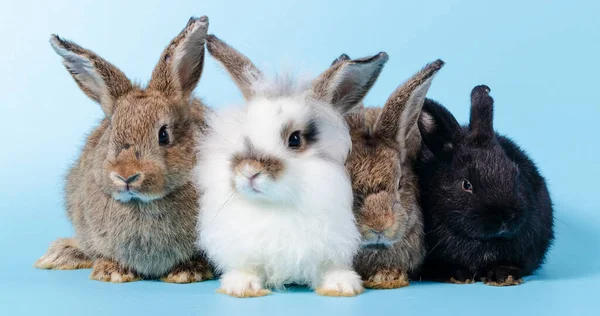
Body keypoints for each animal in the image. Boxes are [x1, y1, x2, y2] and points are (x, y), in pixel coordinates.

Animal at [34, 16, 213, 284]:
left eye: (163, 135)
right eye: (112, 131)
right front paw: (112, 272)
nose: (126, 175)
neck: (142, 203)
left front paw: (188, 271)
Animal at [195, 35, 386, 298]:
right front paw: (242, 286)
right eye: (245, 134)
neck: (275, 206)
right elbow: (248, 267)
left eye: (295, 139)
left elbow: (331, 267)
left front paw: (342, 285)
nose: (250, 171)